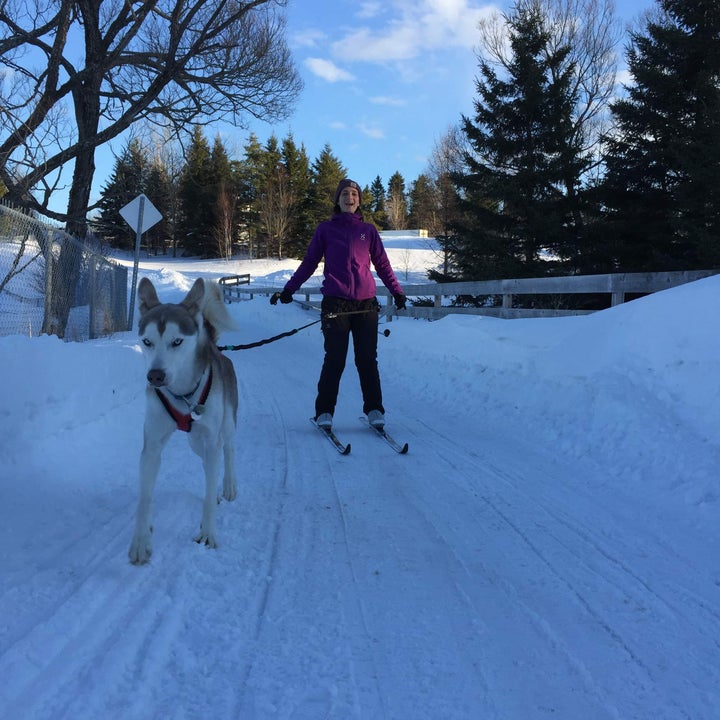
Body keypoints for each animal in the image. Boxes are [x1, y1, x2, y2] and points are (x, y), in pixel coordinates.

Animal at [129, 278, 239, 564]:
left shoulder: (212, 439)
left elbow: (210, 494)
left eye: (177, 341)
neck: (182, 394)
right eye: (147, 341)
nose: (155, 376)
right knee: (206, 461)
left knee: (227, 450)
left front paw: (208, 533)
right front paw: (141, 540)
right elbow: (144, 498)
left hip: (226, 425)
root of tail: (217, 351)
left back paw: (229, 486)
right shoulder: (152, 445)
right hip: (195, 442)